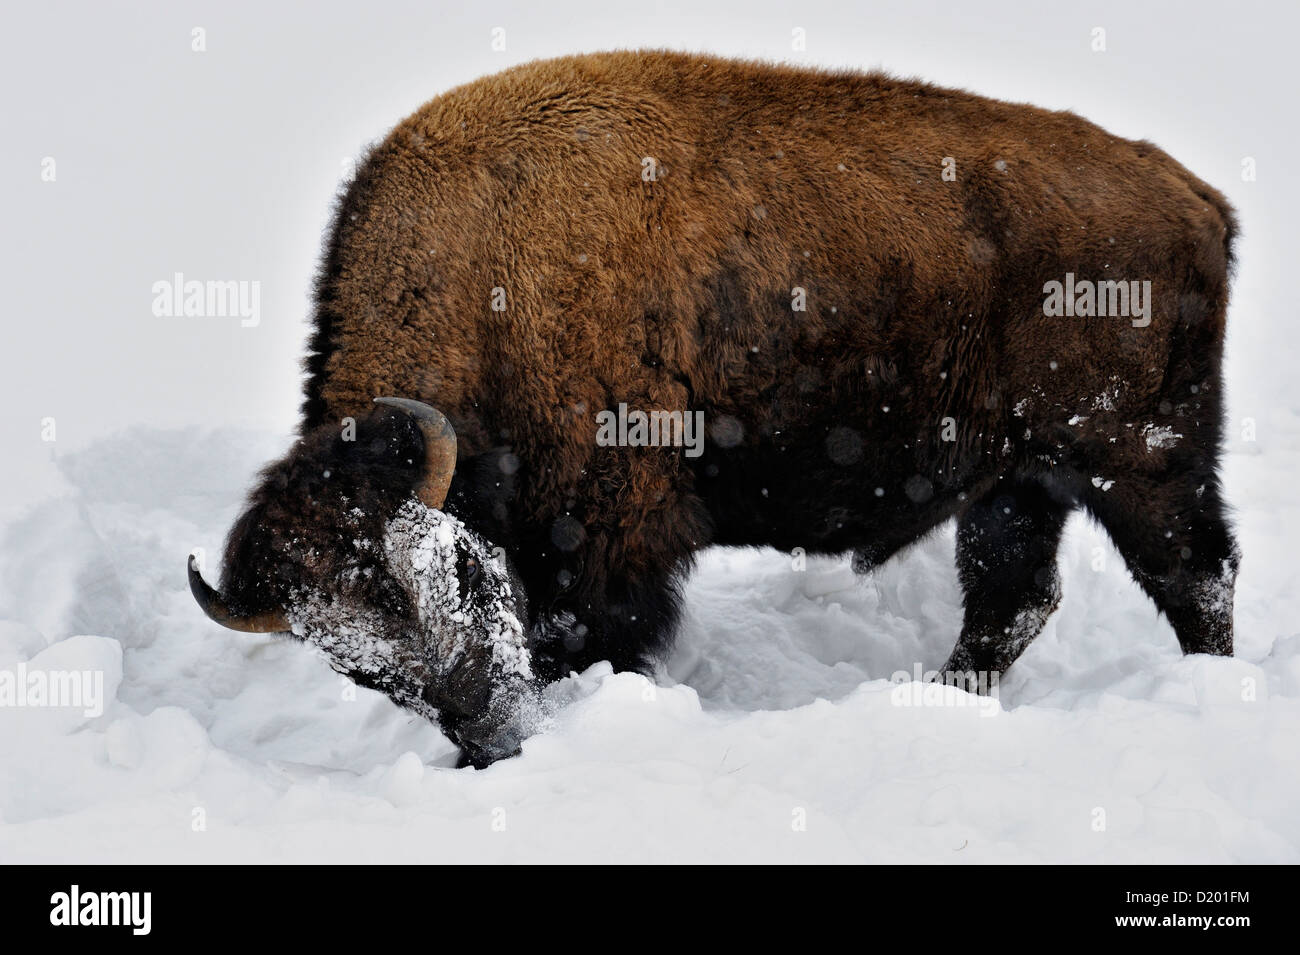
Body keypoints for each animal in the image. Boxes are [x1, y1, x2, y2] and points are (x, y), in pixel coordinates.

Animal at [189, 51, 1239, 765]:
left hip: (1140, 460)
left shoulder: (604, 543)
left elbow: (594, 635)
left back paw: (1214, 690)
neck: (491, 277)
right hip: (1021, 481)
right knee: (1013, 596)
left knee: (1197, 575)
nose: (495, 739)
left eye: (455, 575)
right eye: (357, 665)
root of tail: (1191, 193)